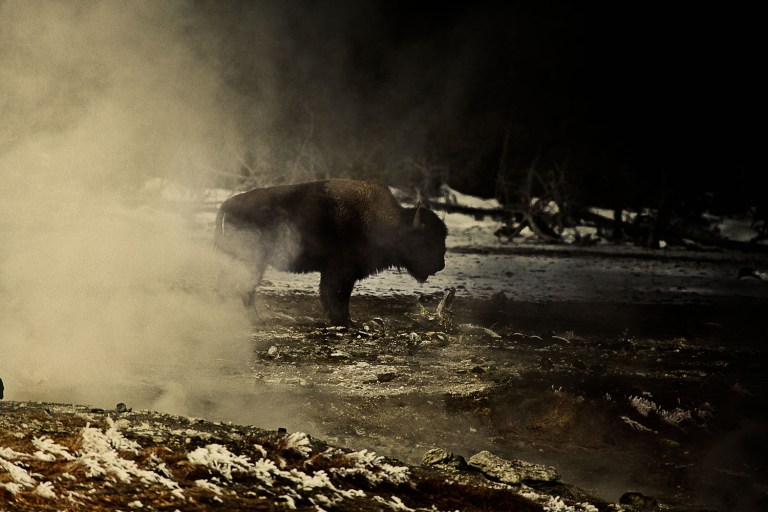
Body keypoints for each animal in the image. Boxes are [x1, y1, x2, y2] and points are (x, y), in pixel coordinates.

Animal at [214, 179, 447, 325]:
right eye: (426, 240)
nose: (440, 265)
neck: (388, 223)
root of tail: (229, 203)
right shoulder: (340, 272)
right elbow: (336, 295)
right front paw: (346, 322)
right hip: (252, 262)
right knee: (245, 289)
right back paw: (256, 320)